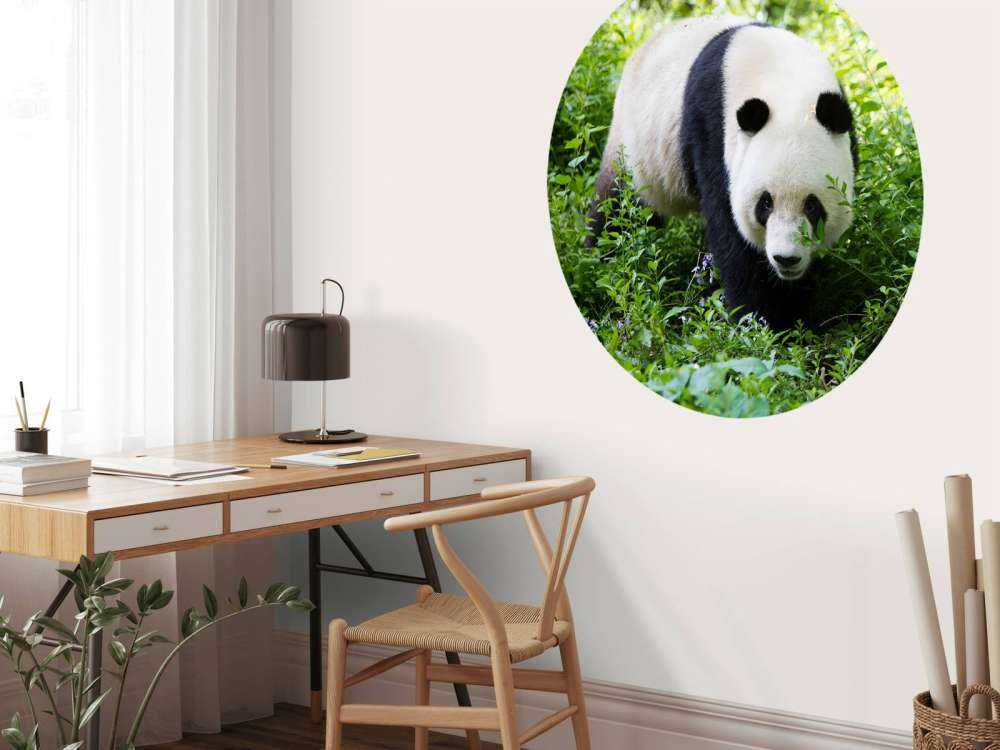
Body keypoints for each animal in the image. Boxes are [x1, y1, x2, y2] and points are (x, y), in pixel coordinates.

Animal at [590, 16, 857, 329]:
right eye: (765, 203)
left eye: (812, 205)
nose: (785, 259)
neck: (786, 84)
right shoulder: (713, 132)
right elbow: (734, 238)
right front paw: (762, 322)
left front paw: (801, 313)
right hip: (635, 148)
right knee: (616, 209)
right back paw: (599, 261)